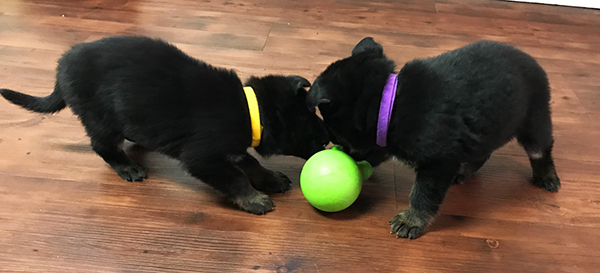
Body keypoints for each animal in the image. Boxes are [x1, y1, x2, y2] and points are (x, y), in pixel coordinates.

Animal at [1, 36, 328, 214]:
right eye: (312, 128)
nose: (329, 141)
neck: (251, 110)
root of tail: (60, 68)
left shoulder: (229, 149)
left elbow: (250, 163)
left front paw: (269, 178)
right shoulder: (203, 157)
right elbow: (235, 178)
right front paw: (253, 199)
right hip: (100, 119)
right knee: (102, 146)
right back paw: (126, 166)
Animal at [310, 37, 564, 238]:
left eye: (334, 133)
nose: (340, 154)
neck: (389, 102)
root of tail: (534, 62)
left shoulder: (437, 162)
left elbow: (423, 194)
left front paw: (411, 220)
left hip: (534, 118)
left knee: (540, 149)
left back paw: (547, 176)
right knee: (481, 152)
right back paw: (464, 171)